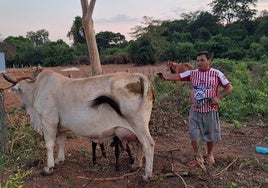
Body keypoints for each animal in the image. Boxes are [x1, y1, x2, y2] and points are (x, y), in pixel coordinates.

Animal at [2, 68, 155, 180]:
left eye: (18, 91)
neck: (36, 90)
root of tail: (138, 76)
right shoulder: (61, 127)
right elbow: (61, 142)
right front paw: (59, 160)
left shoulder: (48, 121)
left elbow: (49, 145)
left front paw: (48, 168)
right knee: (140, 145)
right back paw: (135, 166)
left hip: (138, 125)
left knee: (148, 144)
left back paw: (146, 175)